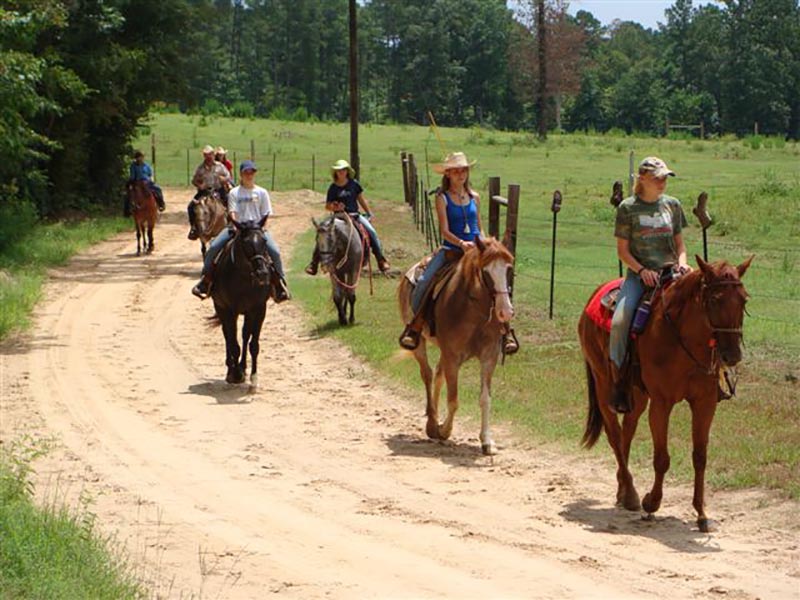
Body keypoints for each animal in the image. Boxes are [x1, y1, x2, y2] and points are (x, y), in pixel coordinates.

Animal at [208, 218, 274, 386]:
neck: (244, 278)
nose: (262, 273)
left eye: (264, 241)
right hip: (221, 308)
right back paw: (232, 369)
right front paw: (236, 374)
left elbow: (253, 344)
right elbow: (233, 343)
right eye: (246, 243)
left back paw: (242, 367)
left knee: (244, 335)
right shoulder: (230, 311)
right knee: (227, 335)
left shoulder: (258, 309)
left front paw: (253, 376)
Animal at [396, 237, 516, 458]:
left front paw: (487, 441)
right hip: (420, 344)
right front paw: (444, 430)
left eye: (508, 269)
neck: (474, 310)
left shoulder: (489, 357)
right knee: (427, 374)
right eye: (486, 272)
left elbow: (485, 399)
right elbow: (453, 400)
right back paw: (432, 422)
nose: (505, 311)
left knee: (437, 374)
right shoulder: (452, 356)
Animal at [580, 255, 752, 532]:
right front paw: (652, 504)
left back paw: (622, 490)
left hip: (637, 394)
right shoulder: (662, 403)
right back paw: (631, 494)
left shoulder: (704, 403)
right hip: (604, 384)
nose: (732, 355)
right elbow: (662, 458)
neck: (683, 339)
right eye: (715, 300)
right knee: (615, 434)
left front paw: (701, 513)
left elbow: (700, 456)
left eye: (744, 299)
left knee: (627, 430)